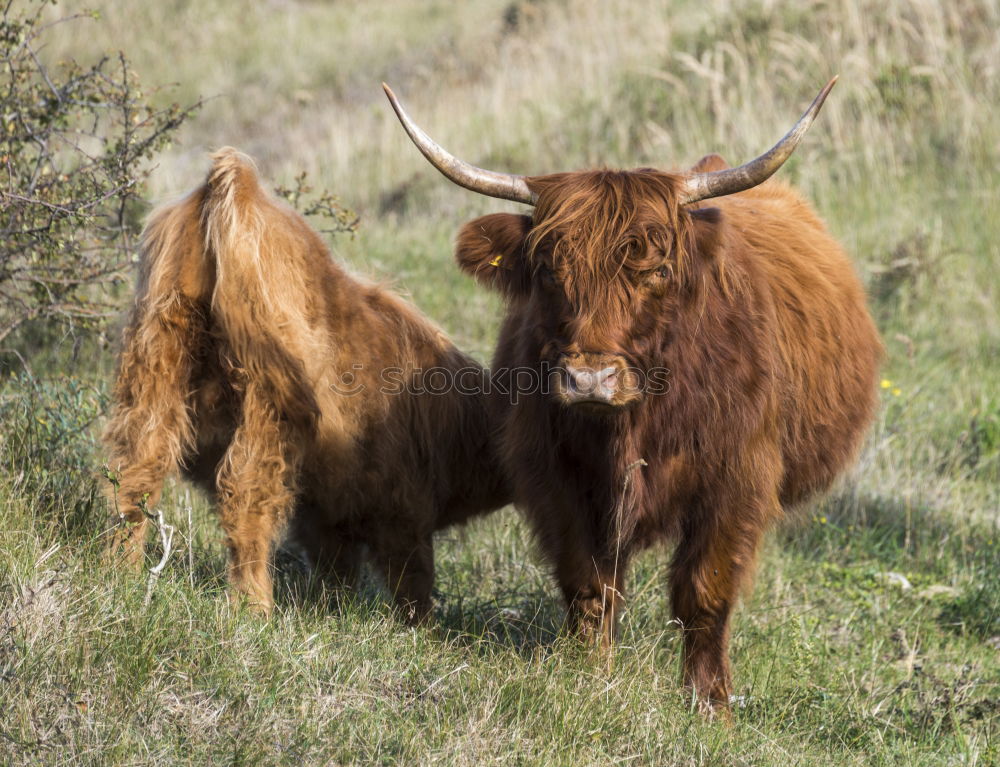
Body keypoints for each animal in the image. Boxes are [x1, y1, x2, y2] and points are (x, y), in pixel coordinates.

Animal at [103, 147, 508, 620]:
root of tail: (237, 186)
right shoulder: (403, 509)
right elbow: (413, 580)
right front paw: (416, 625)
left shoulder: (330, 513)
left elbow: (336, 571)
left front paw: (332, 609)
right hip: (269, 401)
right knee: (244, 495)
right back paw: (254, 607)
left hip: (157, 356)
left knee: (136, 471)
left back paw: (121, 574)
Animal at [384, 81, 884, 712]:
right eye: (547, 270)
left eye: (658, 270)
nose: (589, 380)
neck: (631, 424)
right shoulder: (554, 479)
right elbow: (588, 586)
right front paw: (589, 677)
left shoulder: (736, 481)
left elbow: (703, 592)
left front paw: (709, 704)